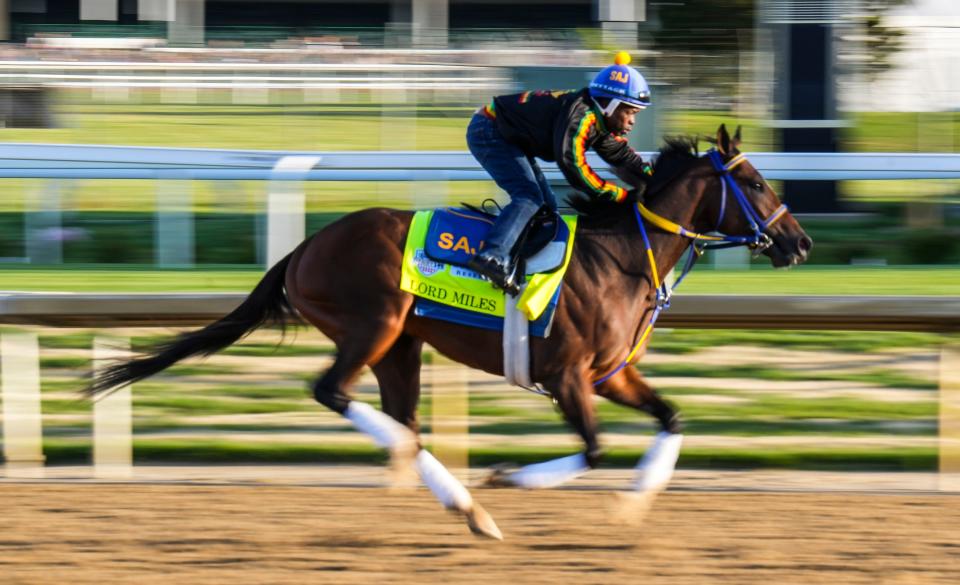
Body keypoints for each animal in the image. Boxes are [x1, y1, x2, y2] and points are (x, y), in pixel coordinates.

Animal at [88, 123, 808, 540]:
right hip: (372, 326)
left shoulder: (613, 373)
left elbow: (672, 418)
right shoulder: (567, 375)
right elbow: (595, 449)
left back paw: (467, 509)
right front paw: (509, 479)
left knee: (402, 422)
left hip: (401, 345)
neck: (621, 257)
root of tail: (304, 248)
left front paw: (630, 507)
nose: (798, 242)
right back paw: (471, 501)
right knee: (336, 394)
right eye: (753, 181)